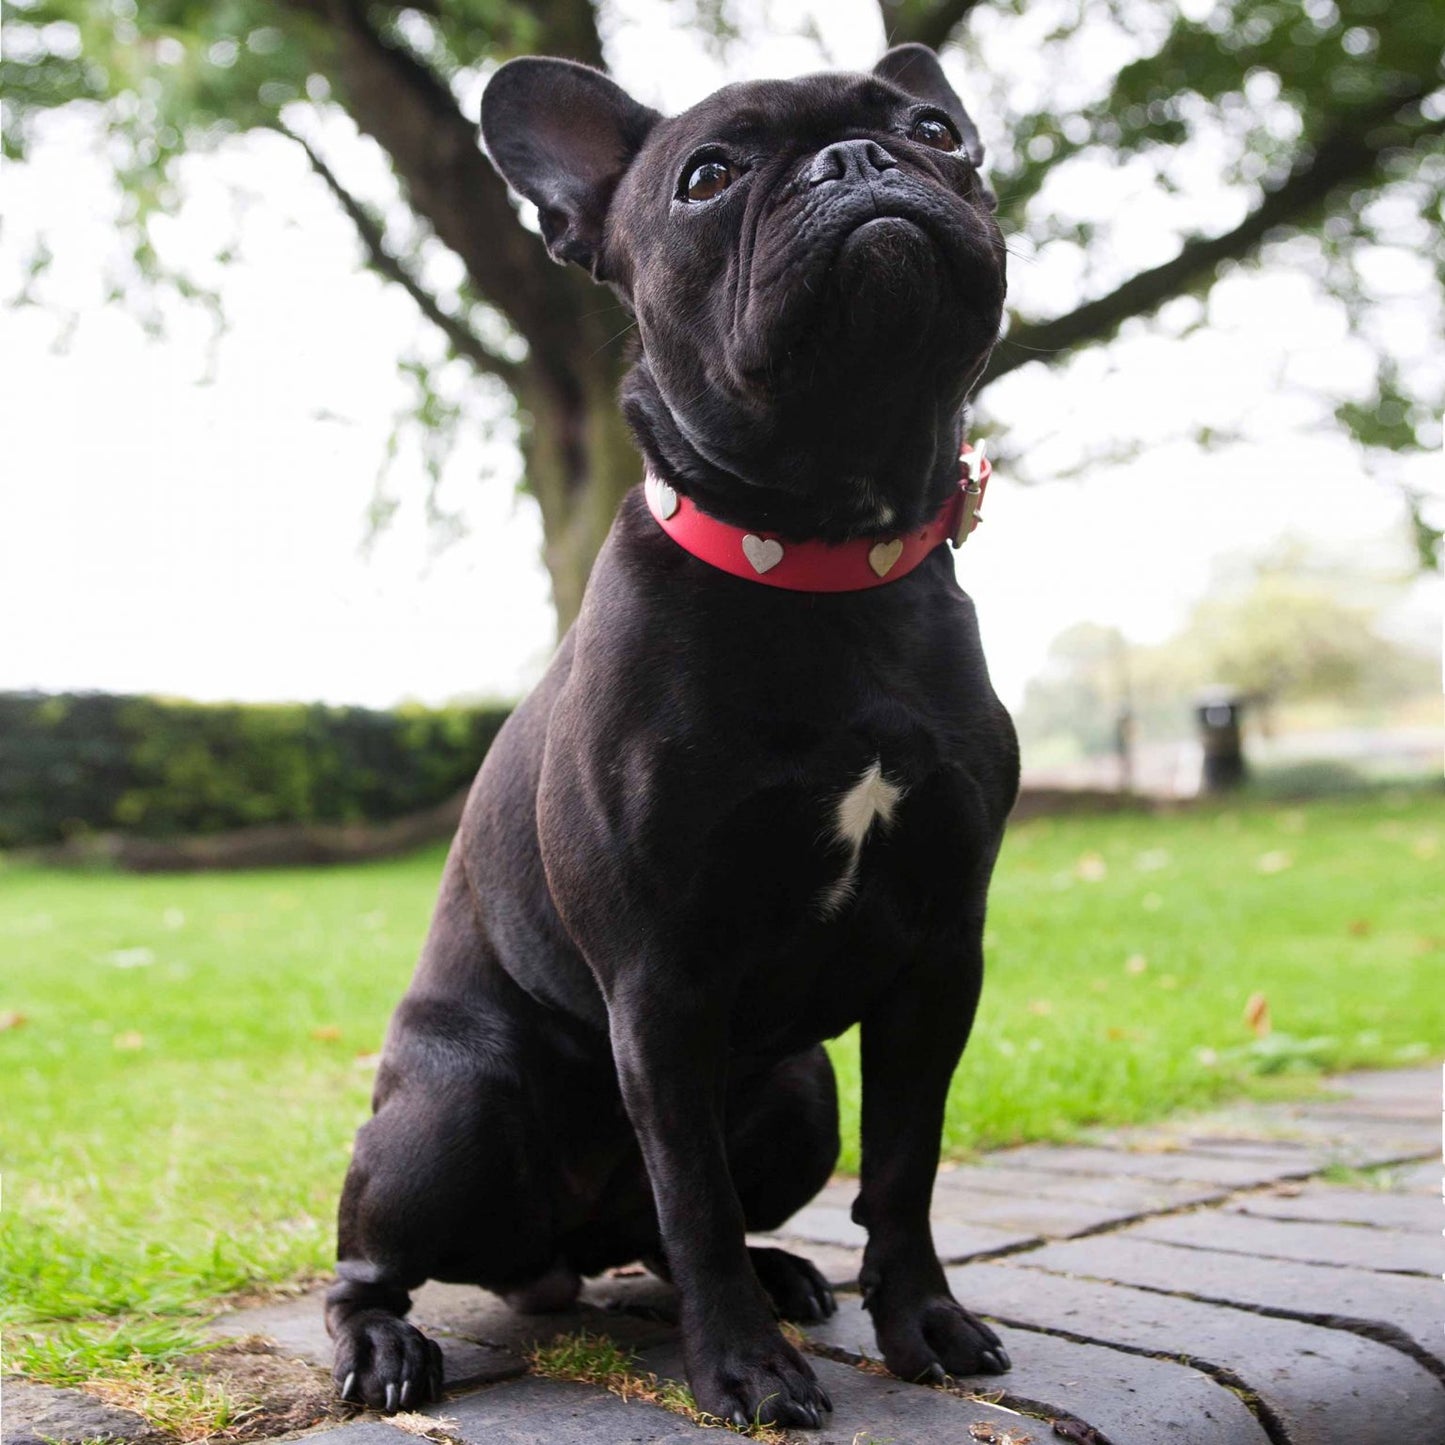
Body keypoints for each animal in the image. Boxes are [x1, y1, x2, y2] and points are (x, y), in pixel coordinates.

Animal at [325, 42, 1017, 1433]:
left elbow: (903, 1163)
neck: (826, 549)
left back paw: (778, 1270)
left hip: (799, 1090)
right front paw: (744, 1371)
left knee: (657, 1224)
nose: (859, 158)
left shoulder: (937, 960)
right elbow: (691, 1189)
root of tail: (548, 1264)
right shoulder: (660, 980)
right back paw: (383, 1345)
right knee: (384, 1259)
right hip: (449, 1117)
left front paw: (920, 1319)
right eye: (706, 176)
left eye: (934, 133)